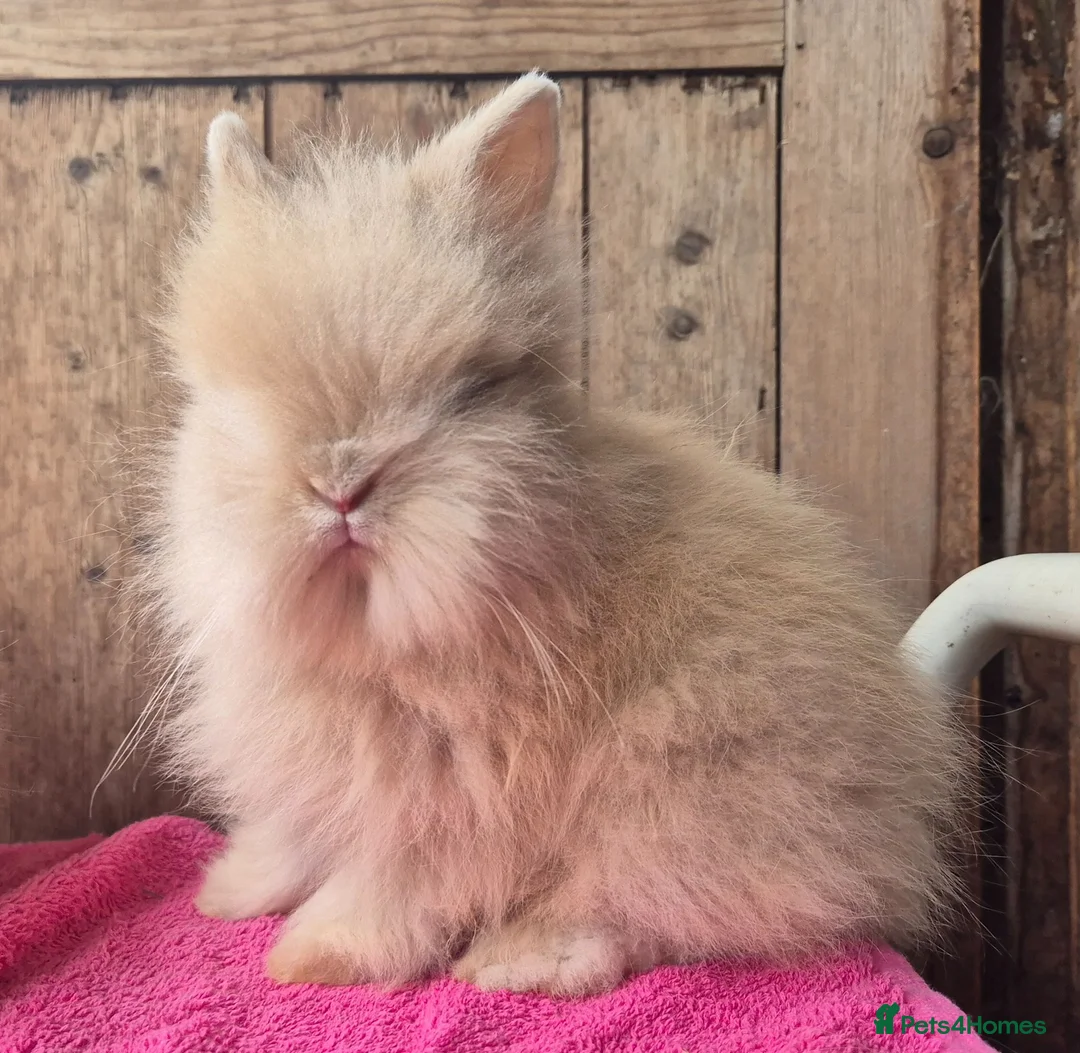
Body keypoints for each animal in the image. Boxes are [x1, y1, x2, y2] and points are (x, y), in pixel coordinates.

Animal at [143, 72, 970, 996]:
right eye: (231, 398)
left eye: (472, 389)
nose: (340, 483)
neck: (365, 634)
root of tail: (893, 820)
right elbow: (295, 838)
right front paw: (231, 891)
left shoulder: (445, 797)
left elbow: (390, 882)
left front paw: (313, 955)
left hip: (686, 782)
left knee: (654, 905)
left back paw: (517, 960)